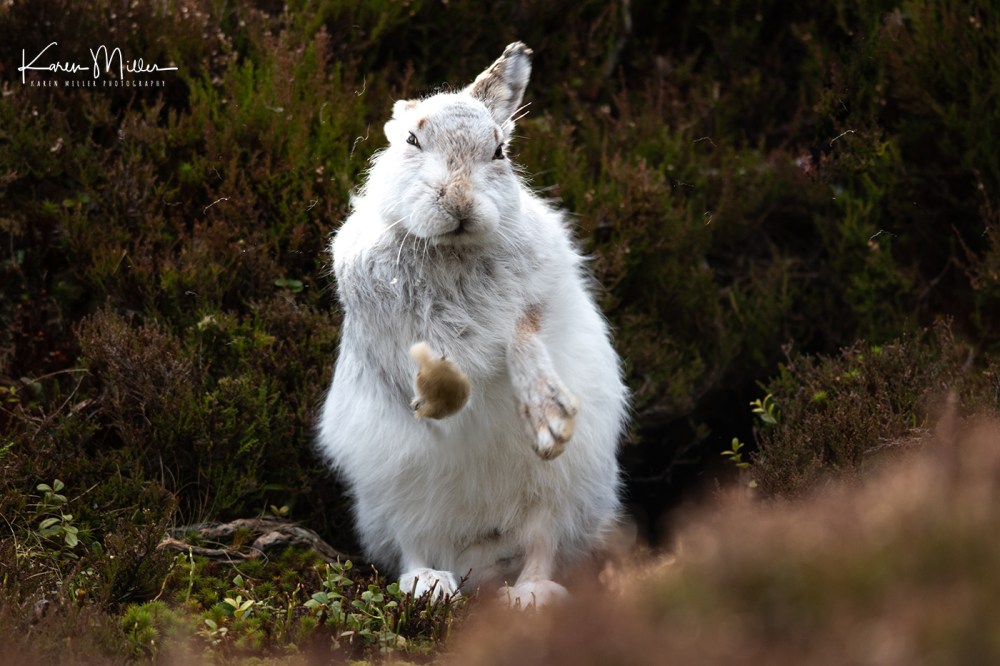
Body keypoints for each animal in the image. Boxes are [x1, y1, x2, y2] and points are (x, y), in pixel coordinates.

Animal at [317, 42, 628, 608]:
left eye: (499, 152)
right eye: (412, 140)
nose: (459, 202)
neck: (452, 251)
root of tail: (482, 562)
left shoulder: (535, 299)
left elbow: (524, 338)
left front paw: (549, 413)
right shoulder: (383, 323)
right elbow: (418, 367)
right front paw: (443, 390)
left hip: (564, 493)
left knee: (542, 544)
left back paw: (530, 595)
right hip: (395, 495)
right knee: (414, 544)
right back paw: (429, 584)